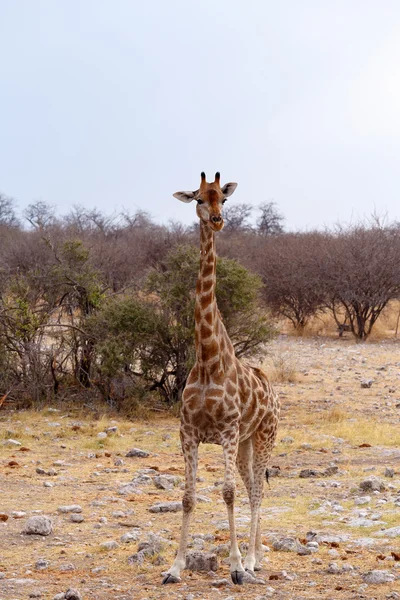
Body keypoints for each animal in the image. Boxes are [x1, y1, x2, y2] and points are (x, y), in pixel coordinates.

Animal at [162, 172, 282, 584]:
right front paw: (175, 567)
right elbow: (187, 496)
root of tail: (272, 391)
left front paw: (235, 567)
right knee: (253, 488)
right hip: (246, 443)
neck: (208, 360)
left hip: (263, 437)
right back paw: (255, 556)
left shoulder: (227, 431)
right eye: (199, 198)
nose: (217, 220)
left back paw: (252, 561)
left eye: (224, 200)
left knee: (256, 492)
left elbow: (227, 493)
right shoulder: (188, 431)